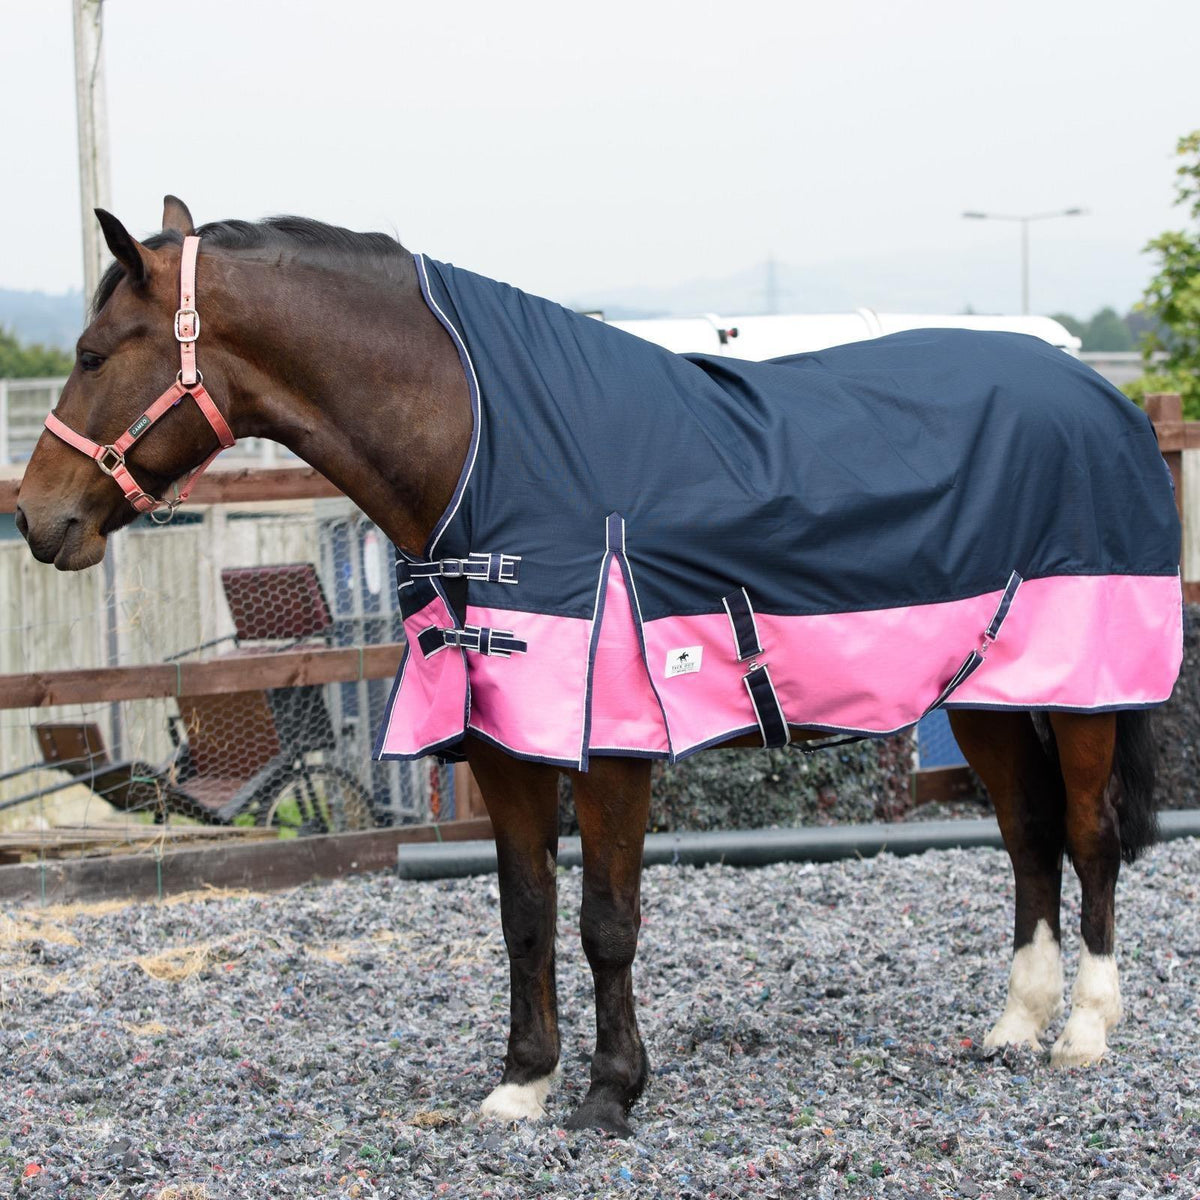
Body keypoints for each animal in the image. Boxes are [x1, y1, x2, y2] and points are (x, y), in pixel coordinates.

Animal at [16, 198, 1179, 1137]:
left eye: (93, 351)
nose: (36, 519)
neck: (489, 450)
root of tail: (1109, 400)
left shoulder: (615, 745)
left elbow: (605, 922)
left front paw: (612, 1091)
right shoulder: (503, 740)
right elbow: (525, 912)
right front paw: (522, 1084)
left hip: (1084, 693)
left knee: (1086, 836)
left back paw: (1084, 1031)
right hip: (986, 693)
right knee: (1027, 837)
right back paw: (1016, 1024)